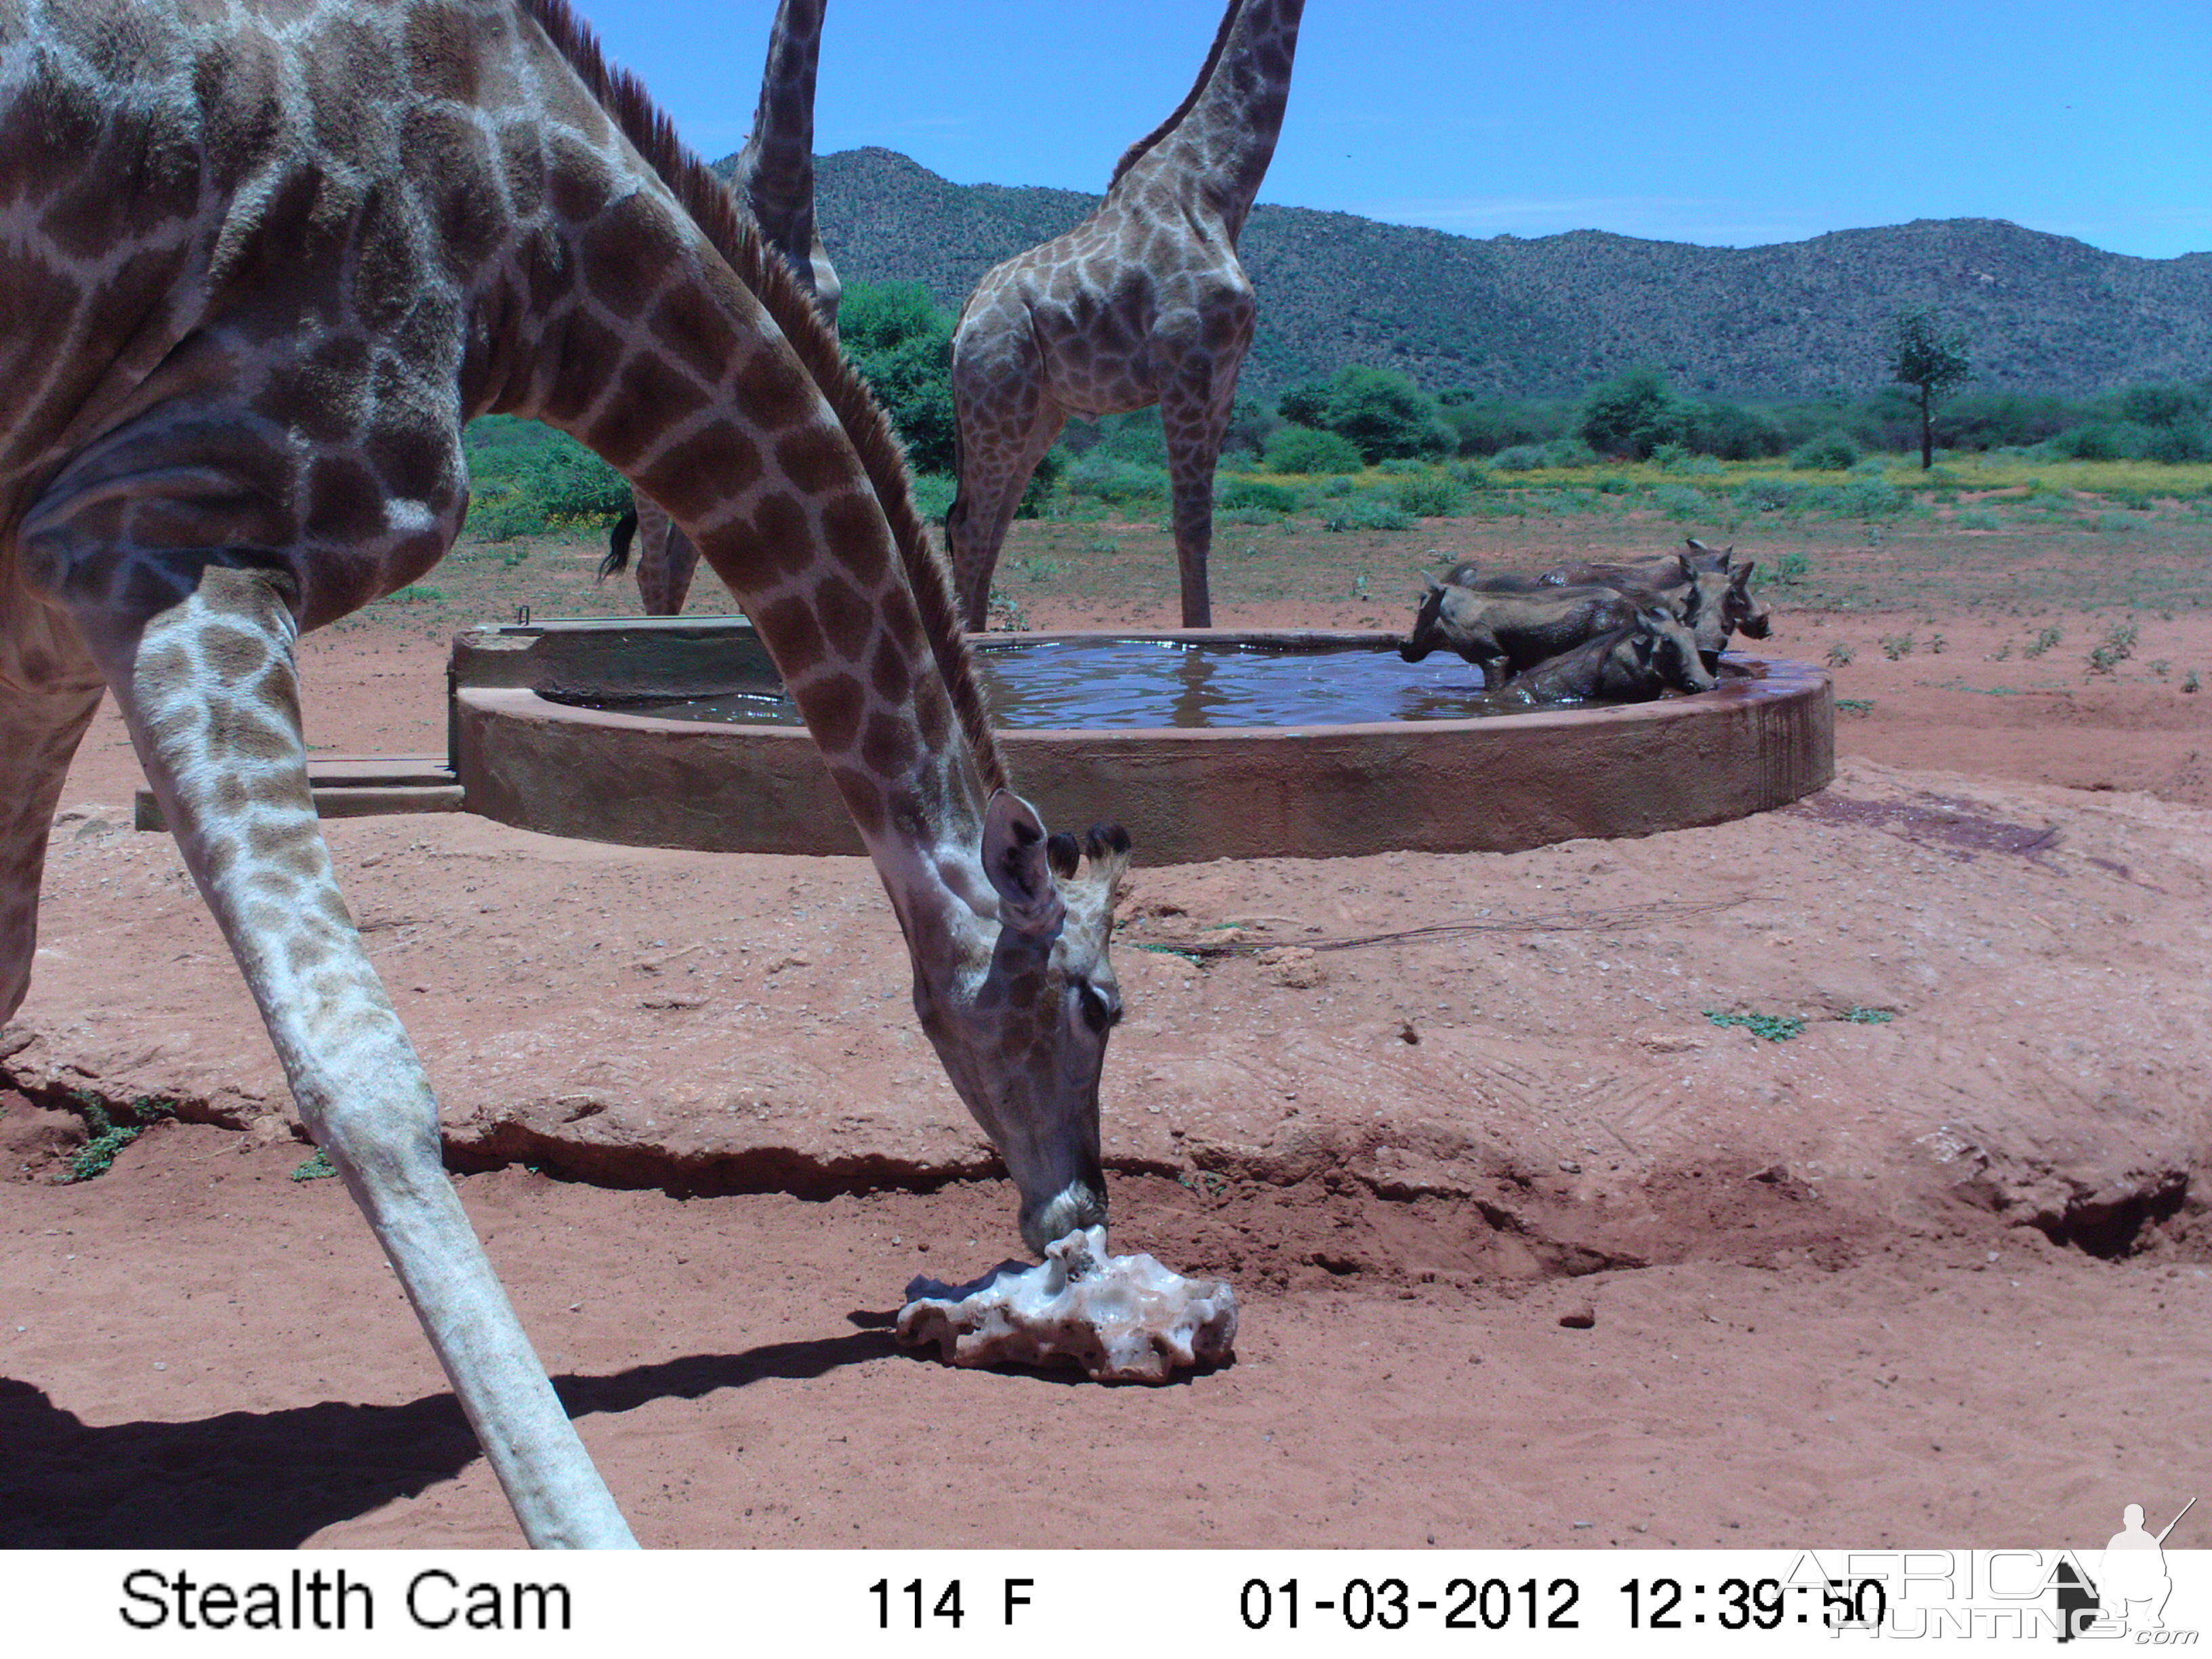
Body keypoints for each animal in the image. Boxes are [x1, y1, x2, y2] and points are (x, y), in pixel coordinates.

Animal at [946, 0, 1300, 628]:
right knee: (971, 526)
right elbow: (1189, 525)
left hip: (1039, 412)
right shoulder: (1186, 365)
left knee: (992, 523)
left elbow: (1205, 523)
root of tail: (964, 320)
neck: (1218, 190)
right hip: (997, 398)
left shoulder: (1224, 380)